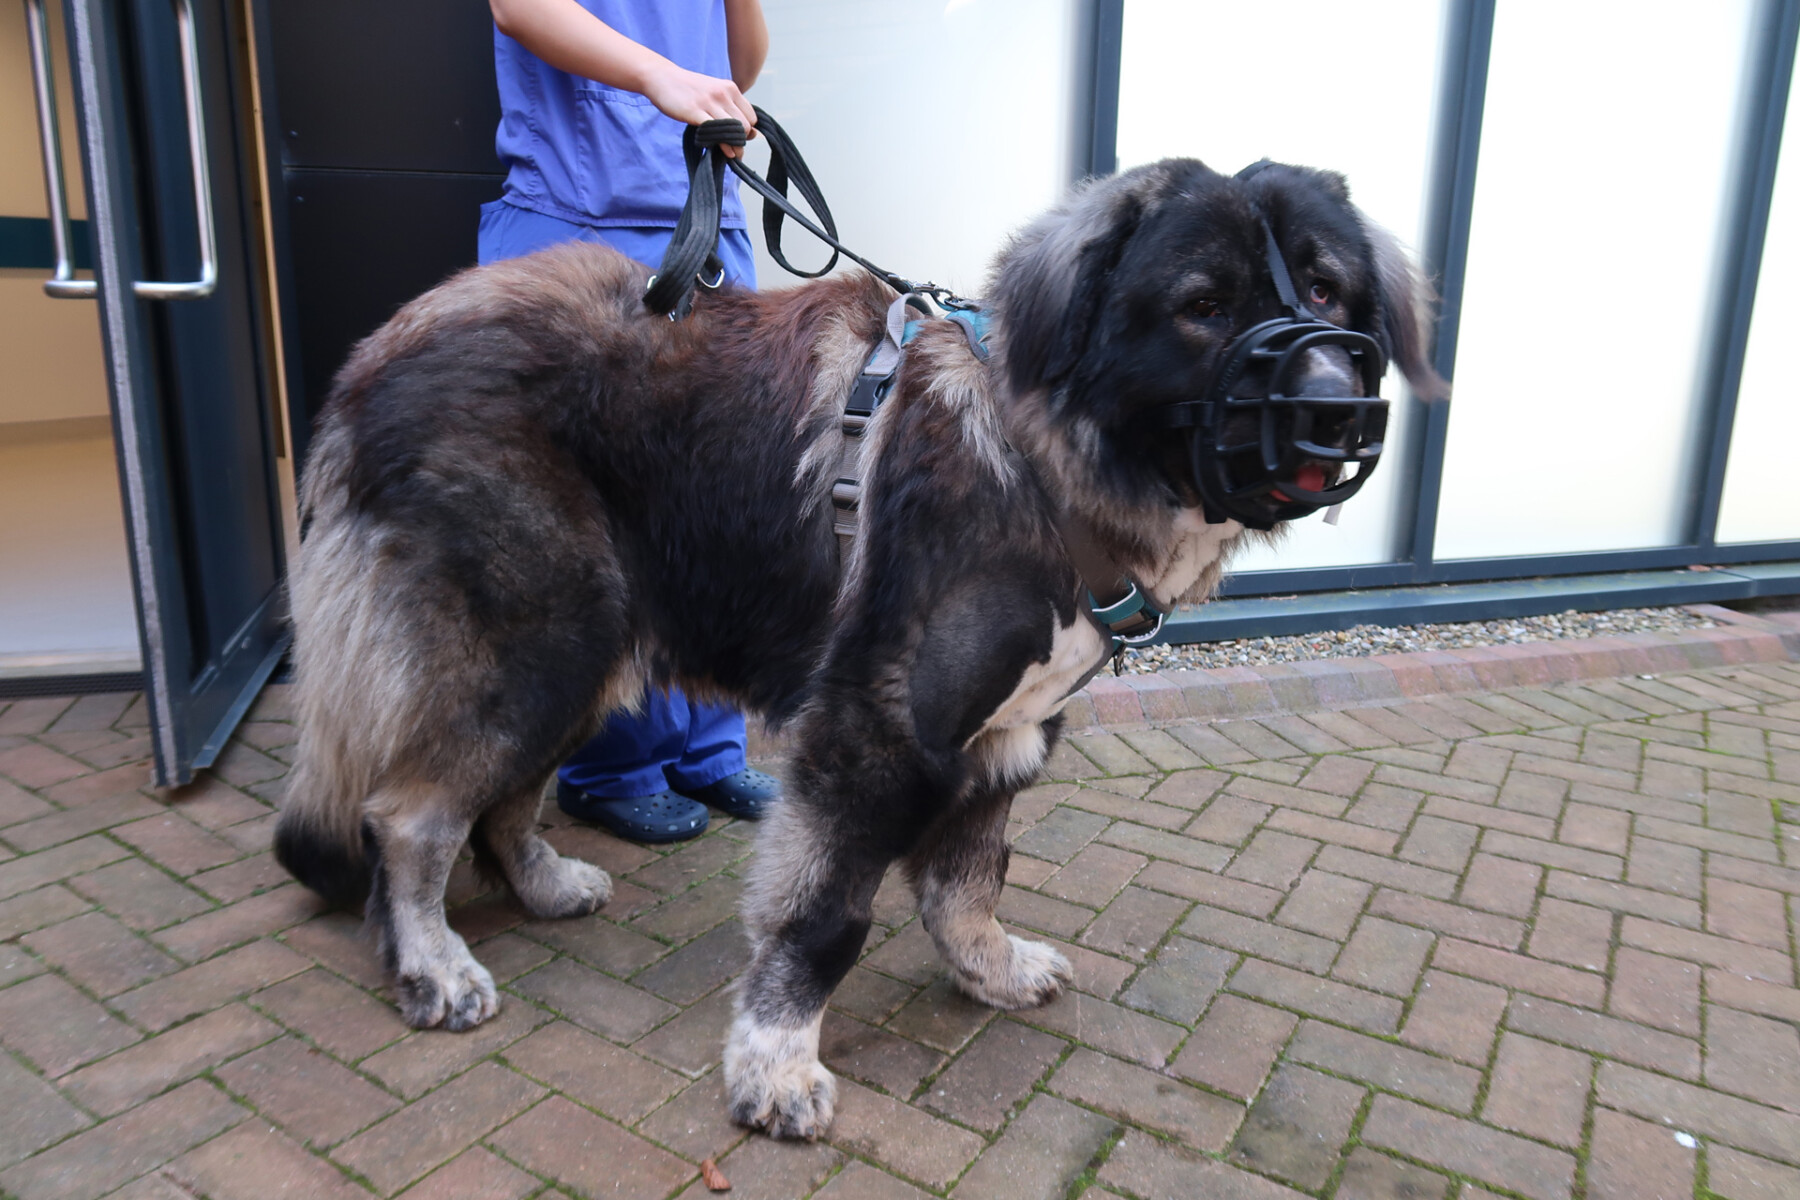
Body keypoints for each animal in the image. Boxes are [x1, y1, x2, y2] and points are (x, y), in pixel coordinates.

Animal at [273, 154, 1440, 1144]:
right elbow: (828, 916)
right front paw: (775, 1065)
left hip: (594, 646)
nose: (1337, 406)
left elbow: (971, 872)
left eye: (1328, 293)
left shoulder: (1007, 725)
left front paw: (986, 967)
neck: (1041, 453)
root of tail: (380, 348)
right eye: (1203, 307)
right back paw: (433, 962)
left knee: (508, 790)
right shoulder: (877, 730)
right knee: (411, 813)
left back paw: (544, 884)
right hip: (545, 634)